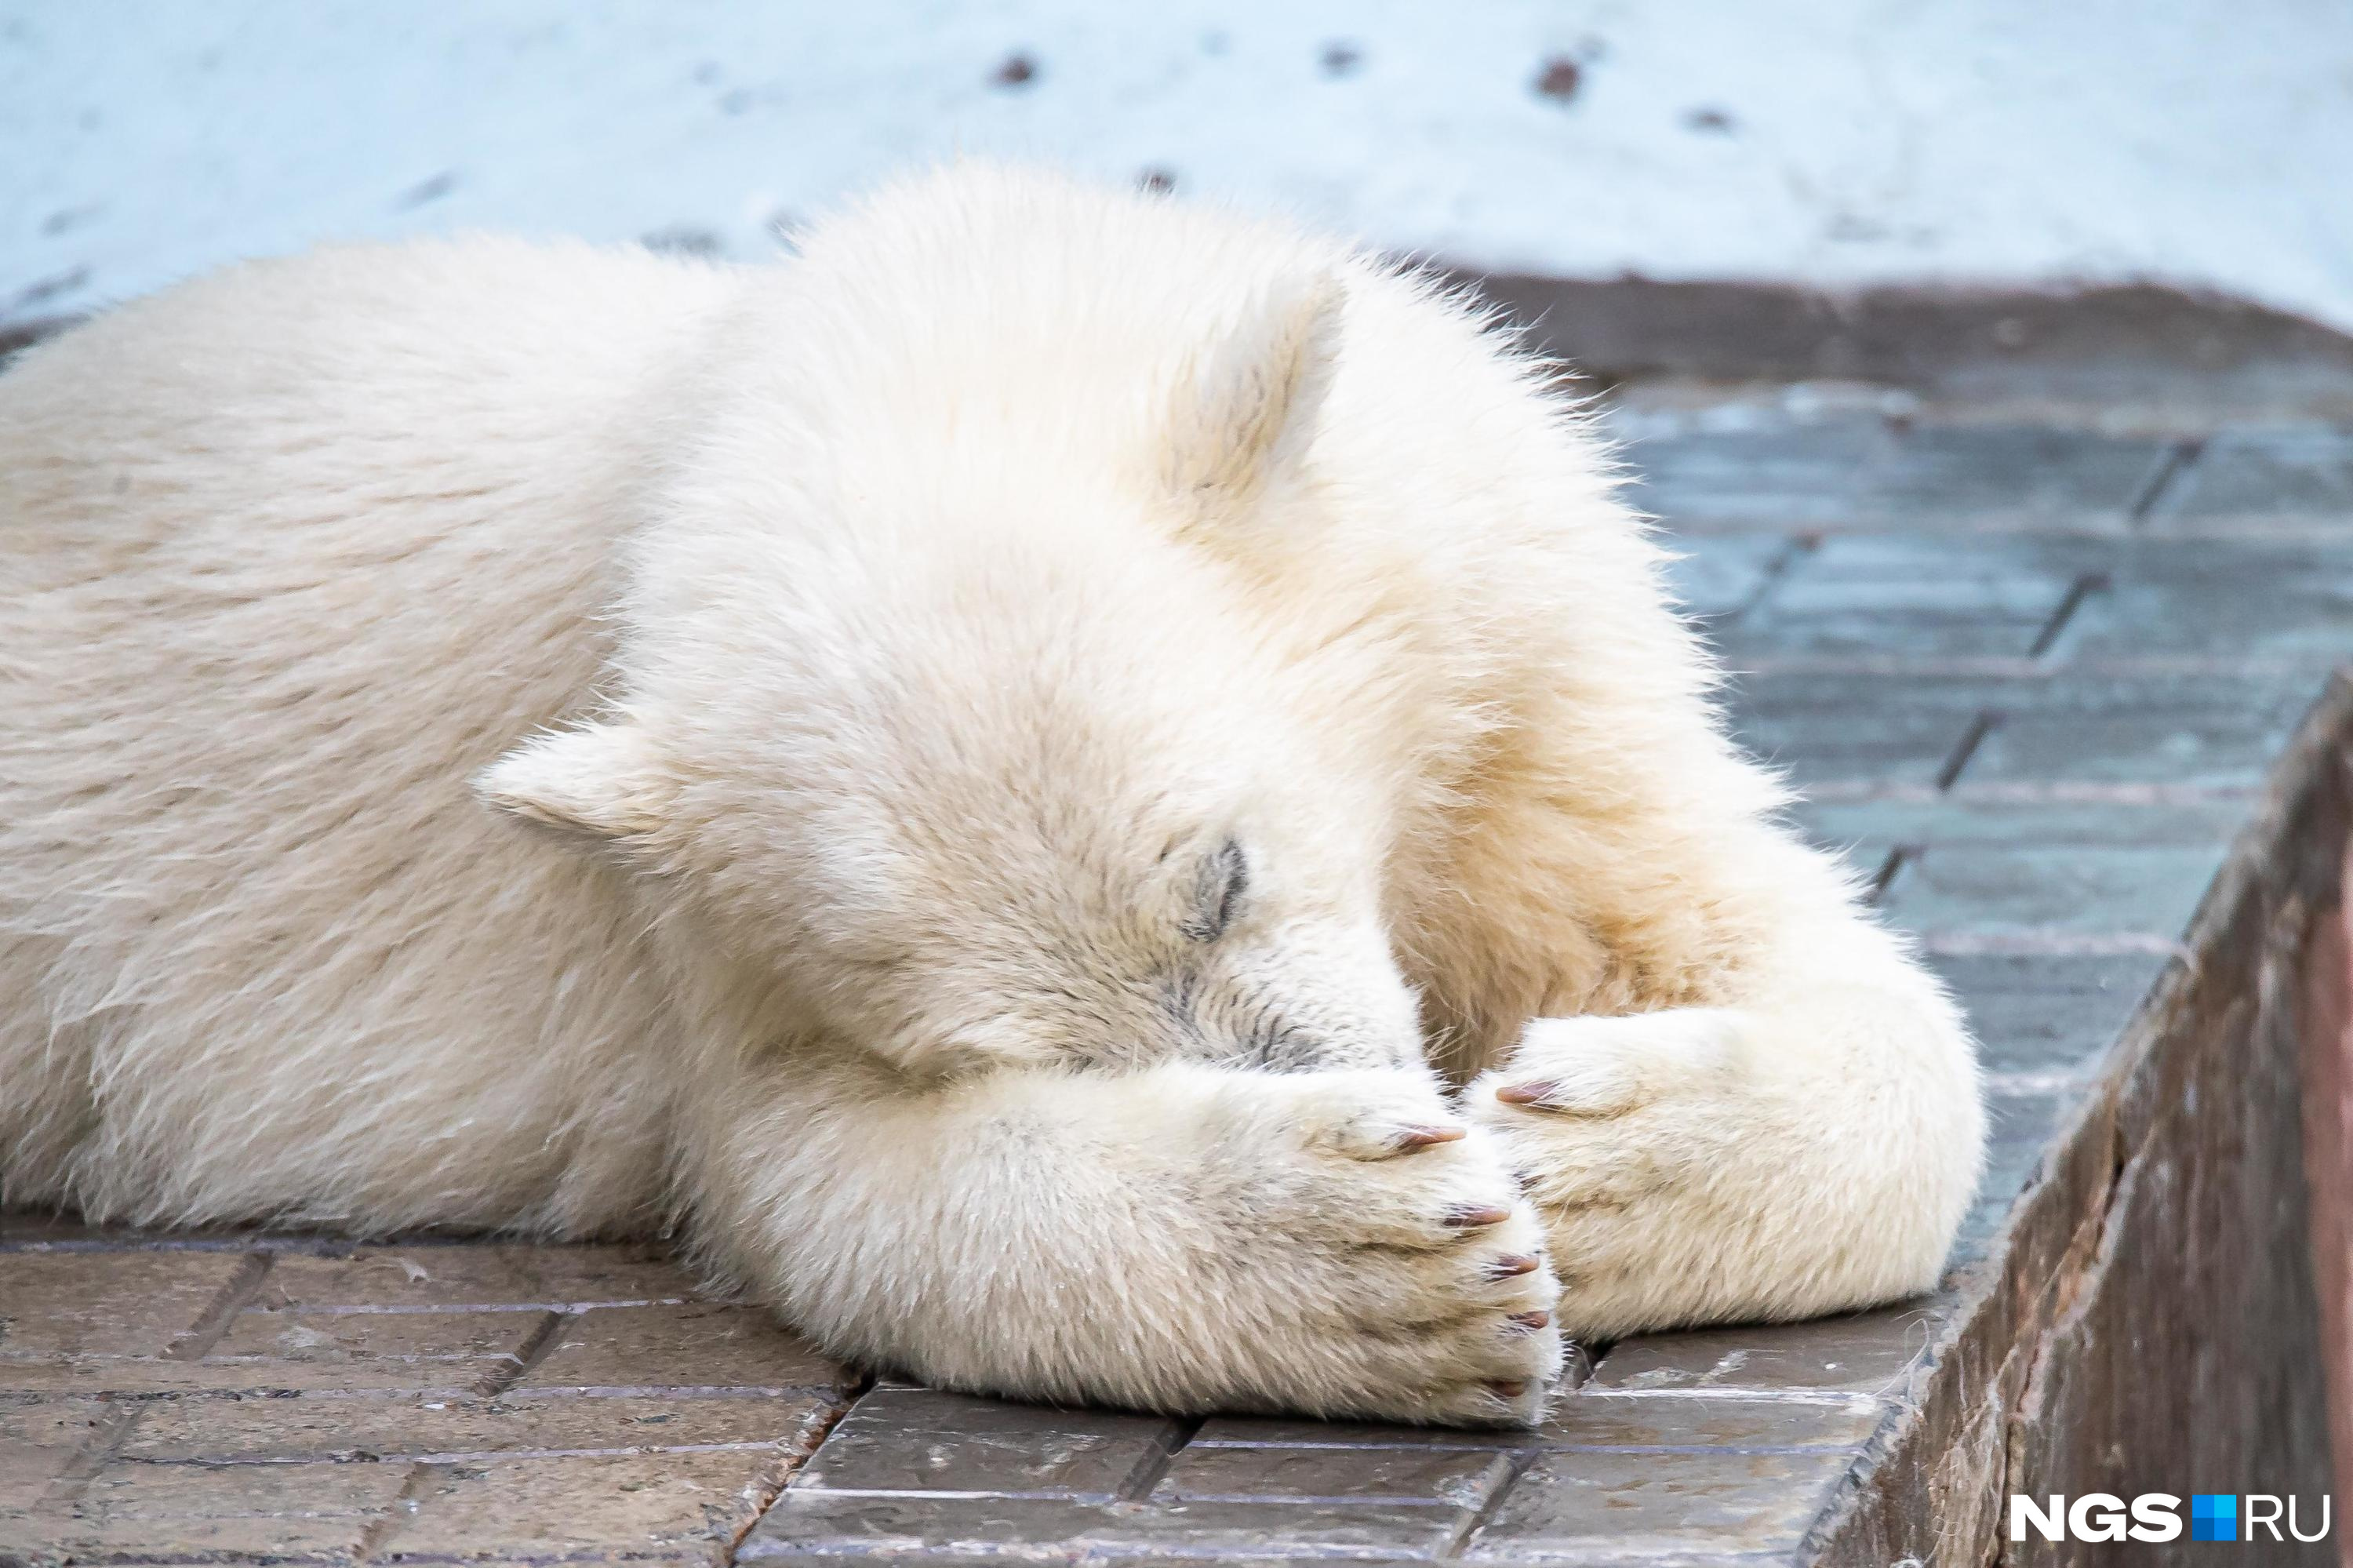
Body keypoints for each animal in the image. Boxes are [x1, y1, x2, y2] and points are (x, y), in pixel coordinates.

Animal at [0, 165, 1986, 1421]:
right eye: (1030, 1046)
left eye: (1221, 872)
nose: (1371, 1085)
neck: (932, 341)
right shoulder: (688, 920)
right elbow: (829, 1178)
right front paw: (1404, 1245)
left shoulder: (1514, 661)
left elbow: (1736, 928)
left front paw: (1584, 1149)